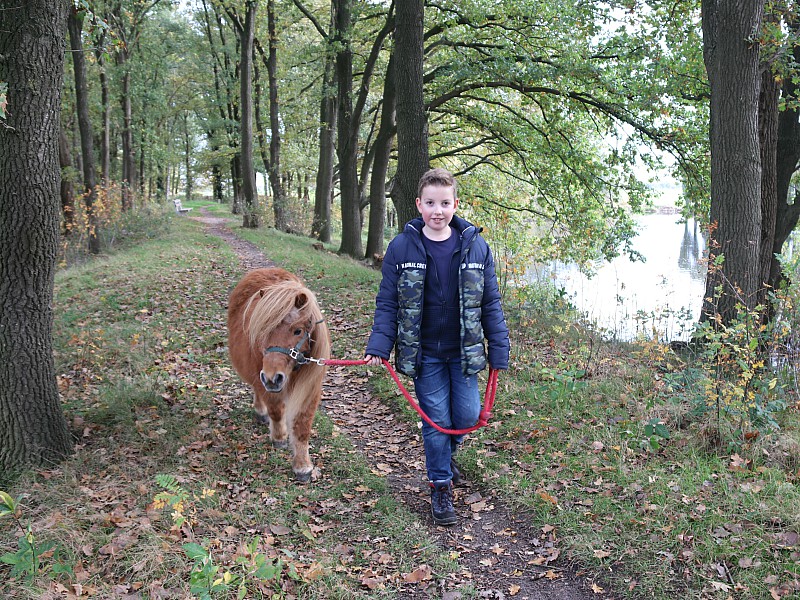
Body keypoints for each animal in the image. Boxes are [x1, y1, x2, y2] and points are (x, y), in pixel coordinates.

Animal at [228, 270, 332, 480]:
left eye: (298, 331)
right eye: (263, 331)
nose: (272, 378)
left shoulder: (311, 389)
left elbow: (302, 426)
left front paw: (302, 466)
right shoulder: (266, 382)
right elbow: (276, 411)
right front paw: (279, 437)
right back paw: (261, 412)